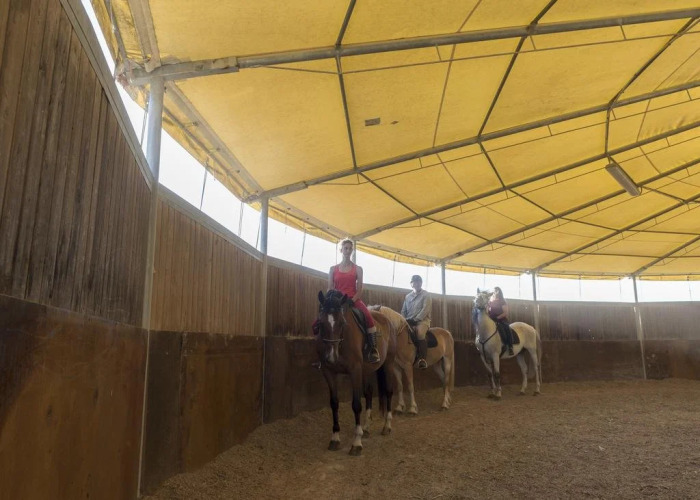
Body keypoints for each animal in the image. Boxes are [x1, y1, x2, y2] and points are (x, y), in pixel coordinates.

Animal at [315, 290, 396, 455]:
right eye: (321, 323)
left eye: (342, 323)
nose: (331, 357)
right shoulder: (329, 372)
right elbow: (334, 403)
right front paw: (335, 438)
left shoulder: (355, 371)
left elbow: (356, 404)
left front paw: (356, 442)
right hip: (367, 370)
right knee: (369, 392)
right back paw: (366, 428)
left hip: (388, 363)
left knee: (389, 391)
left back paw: (387, 426)